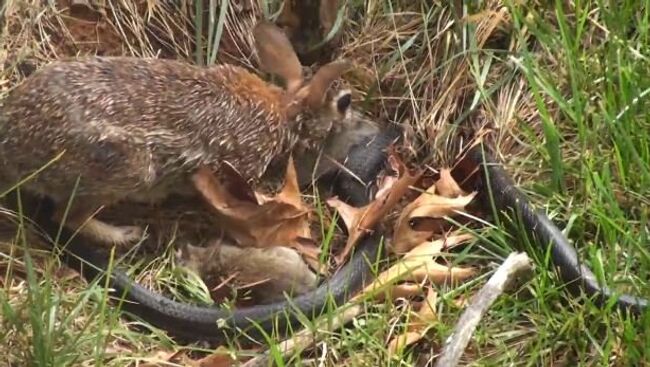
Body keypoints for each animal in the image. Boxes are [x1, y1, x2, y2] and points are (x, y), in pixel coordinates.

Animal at [0, 21, 354, 249]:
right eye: (342, 105)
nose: (349, 119)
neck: (284, 112)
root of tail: (11, 146)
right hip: (127, 169)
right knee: (67, 216)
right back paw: (125, 235)